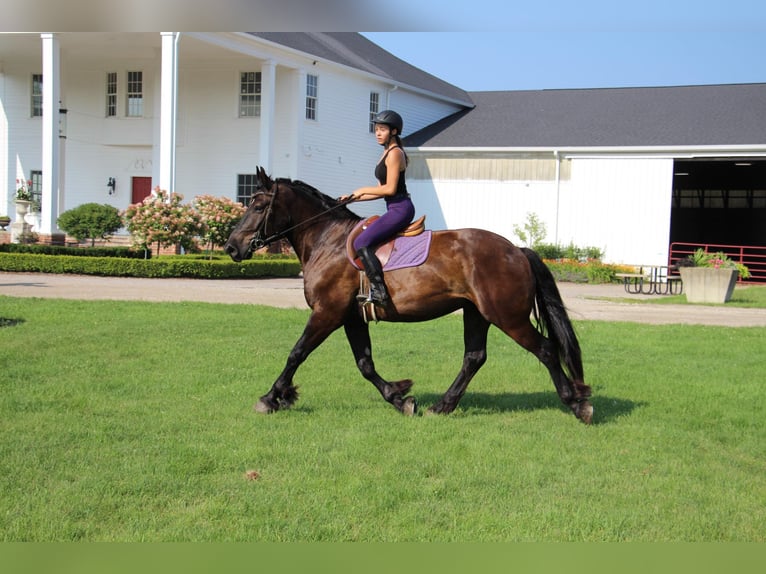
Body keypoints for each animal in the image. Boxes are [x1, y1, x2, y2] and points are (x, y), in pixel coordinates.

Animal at [225, 166, 596, 424]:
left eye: (257, 206)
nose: (231, 247)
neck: (327, 241)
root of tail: (517, 250)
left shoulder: (327, 312)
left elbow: (296, 353)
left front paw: (271, 397)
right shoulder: (350, 317)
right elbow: (365, 364)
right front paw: (400, 397)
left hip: (507, 316)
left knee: (545, 350)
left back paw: (577, 403)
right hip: (477, 313)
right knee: (474, 357)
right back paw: (443, 406)